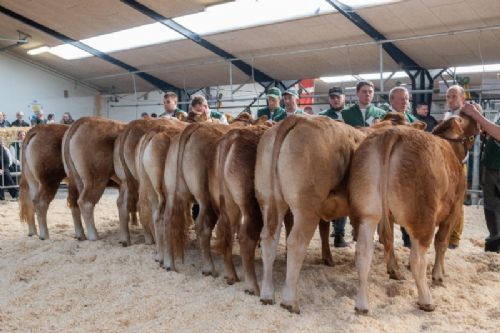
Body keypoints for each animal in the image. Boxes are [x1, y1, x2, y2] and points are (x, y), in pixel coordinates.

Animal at [350, 113, 478, 312]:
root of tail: (392, 133)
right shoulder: (455, 208)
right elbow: (441, 242)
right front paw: (438, 275)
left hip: (366, 213)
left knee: (363, 253)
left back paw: (362, 305)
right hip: (423, 217)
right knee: (418, 259)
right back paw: (426, 300)